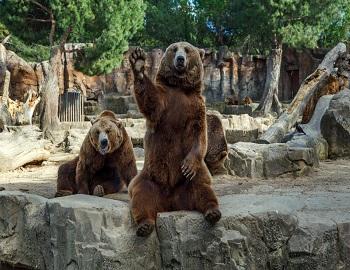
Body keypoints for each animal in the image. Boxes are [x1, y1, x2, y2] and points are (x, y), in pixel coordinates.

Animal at [129, 41, 221, 236]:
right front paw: (139, 62)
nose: (180, 59)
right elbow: (151, 102)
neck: (180, 87)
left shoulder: (196, 106)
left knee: (202, 188)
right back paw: (144, 225)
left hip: (191, 180)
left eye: (187, 50)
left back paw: (213, 212)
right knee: (142, 196)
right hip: (149, 177)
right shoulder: (165, 100)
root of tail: (171, 203)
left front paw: (187, 165)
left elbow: (200, 134)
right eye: (174, 49)